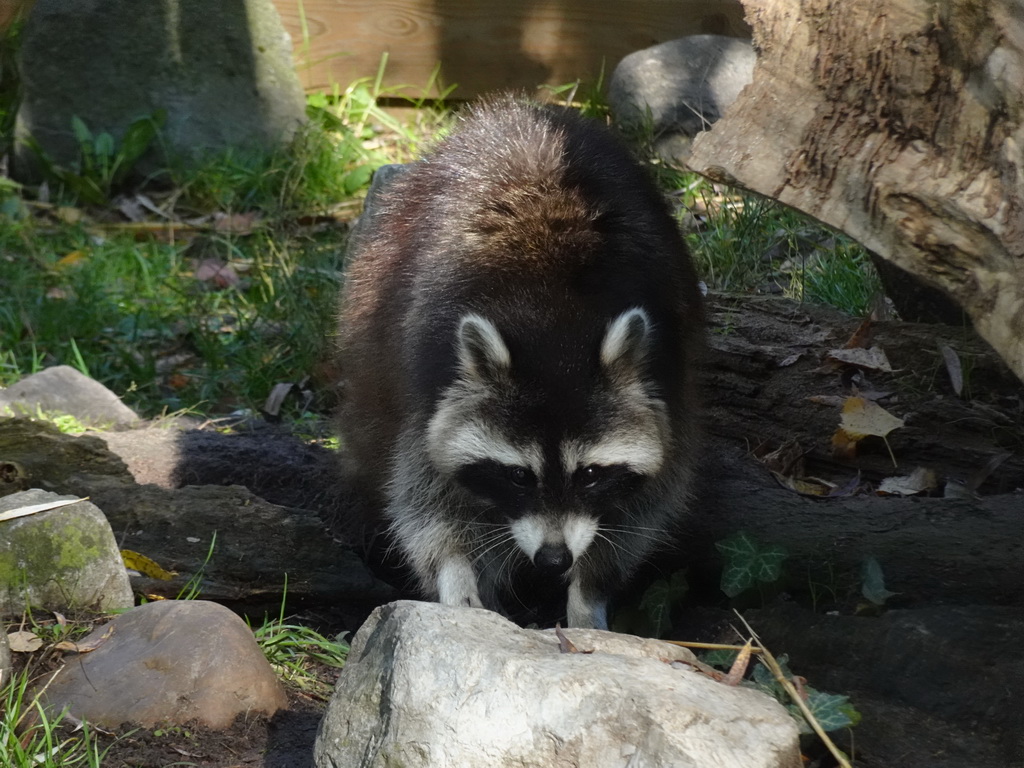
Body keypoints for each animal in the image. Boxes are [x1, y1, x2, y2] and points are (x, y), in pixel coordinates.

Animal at [335, 96, 704, 626]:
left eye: (590, 474)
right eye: (517, 475)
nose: (553, 559)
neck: (555, 321)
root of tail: (516, 110)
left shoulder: (671, 370)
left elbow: (646, 504)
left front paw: (589, 591)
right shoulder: (429, 375)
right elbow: (423, 495)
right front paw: (456, 572)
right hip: (375, 297)